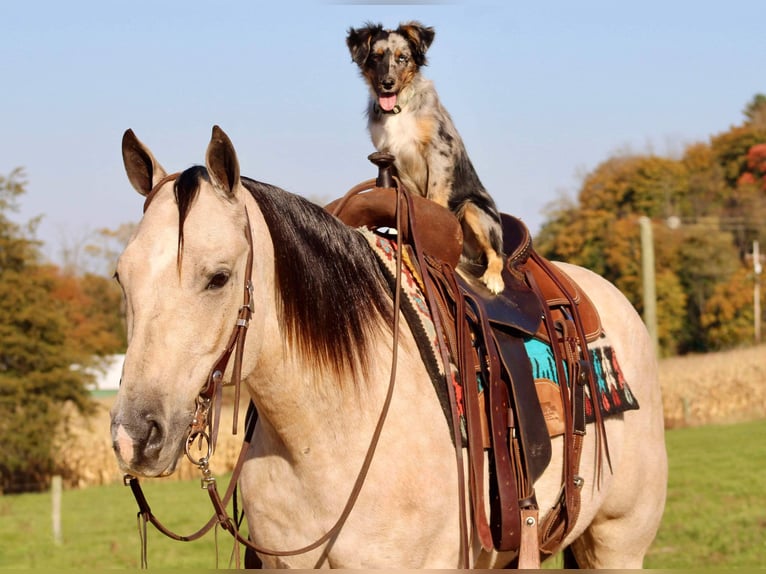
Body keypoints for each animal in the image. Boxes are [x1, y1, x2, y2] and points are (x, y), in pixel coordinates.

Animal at [346, 20, 504, 294]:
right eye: (376, 57)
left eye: (403, 58)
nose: (387, 83)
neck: (399, 109)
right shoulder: (391, 159)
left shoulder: (439, 150)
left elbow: (435, 197)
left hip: (474, 208)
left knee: (498, 254)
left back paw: (493, 278)